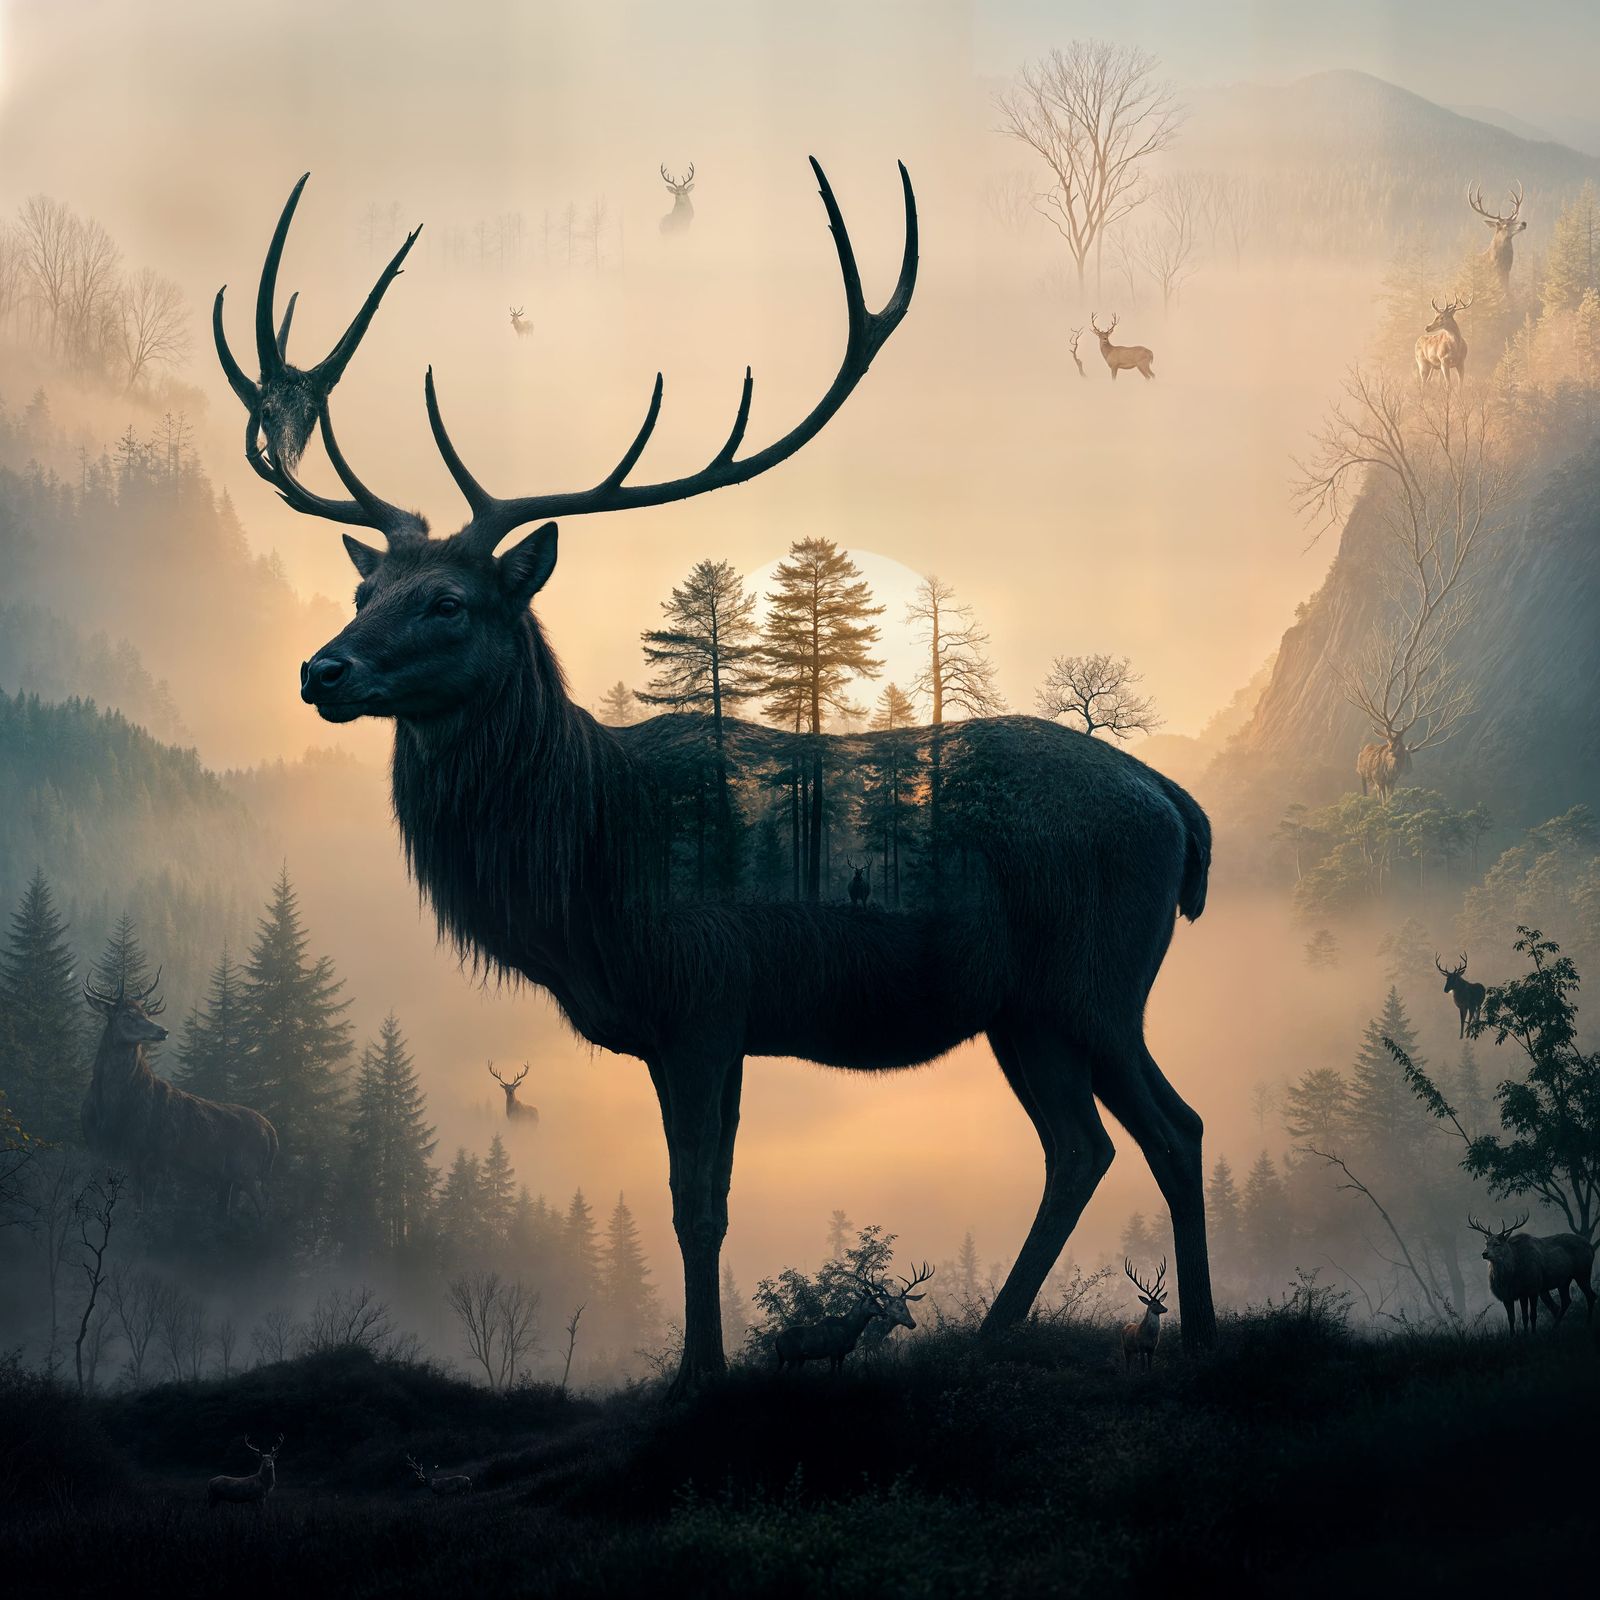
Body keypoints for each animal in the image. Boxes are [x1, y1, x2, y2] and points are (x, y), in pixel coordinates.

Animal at [81, 971, 277, 1216]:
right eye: (127, 1015)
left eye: (146, 1013)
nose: (162, 1030)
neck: (111, 1107)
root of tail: (272, 1133)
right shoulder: (99, 1149)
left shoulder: (150, 1153)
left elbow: (142, 1208)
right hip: (231, 1178)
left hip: (247, 1169)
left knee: (264, 1207)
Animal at [773, 1264, 933, 1372]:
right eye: (899, 1307)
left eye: (907, 1306)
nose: (913, 1324)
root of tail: (777, 1339)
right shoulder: (852, 1353)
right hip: (792, 1357)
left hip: (793, 1359)